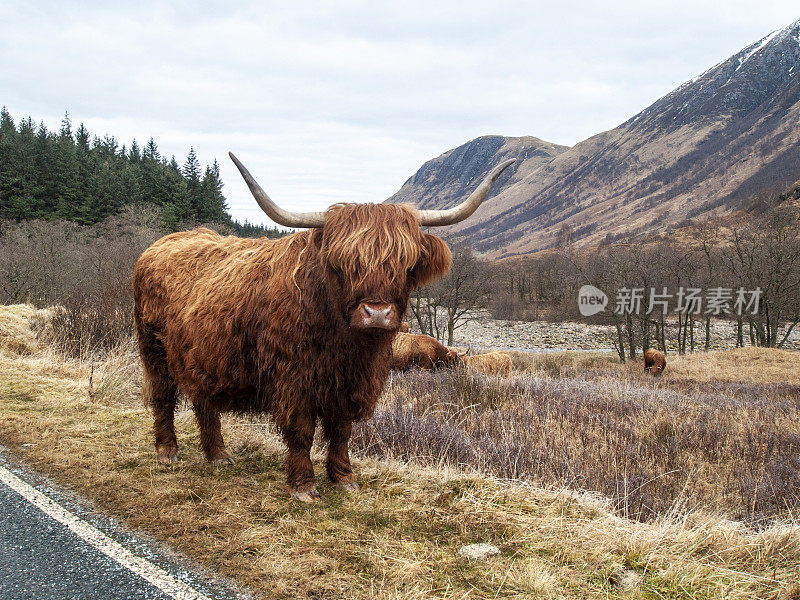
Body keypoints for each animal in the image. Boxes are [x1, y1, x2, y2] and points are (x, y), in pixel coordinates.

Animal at [133, 151, 512, 502]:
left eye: (406, 263)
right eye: (344, 263)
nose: (377, 313)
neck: (346, 345)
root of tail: (162, 244)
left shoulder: (353, 382)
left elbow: (341, 431)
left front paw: (344, 478)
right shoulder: (293, 379)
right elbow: (301, 431)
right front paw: (304, 486)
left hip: (203, 357)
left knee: (204, 402)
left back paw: (218, 455)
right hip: (154, 350)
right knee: (163, 395)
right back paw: (167, 451)